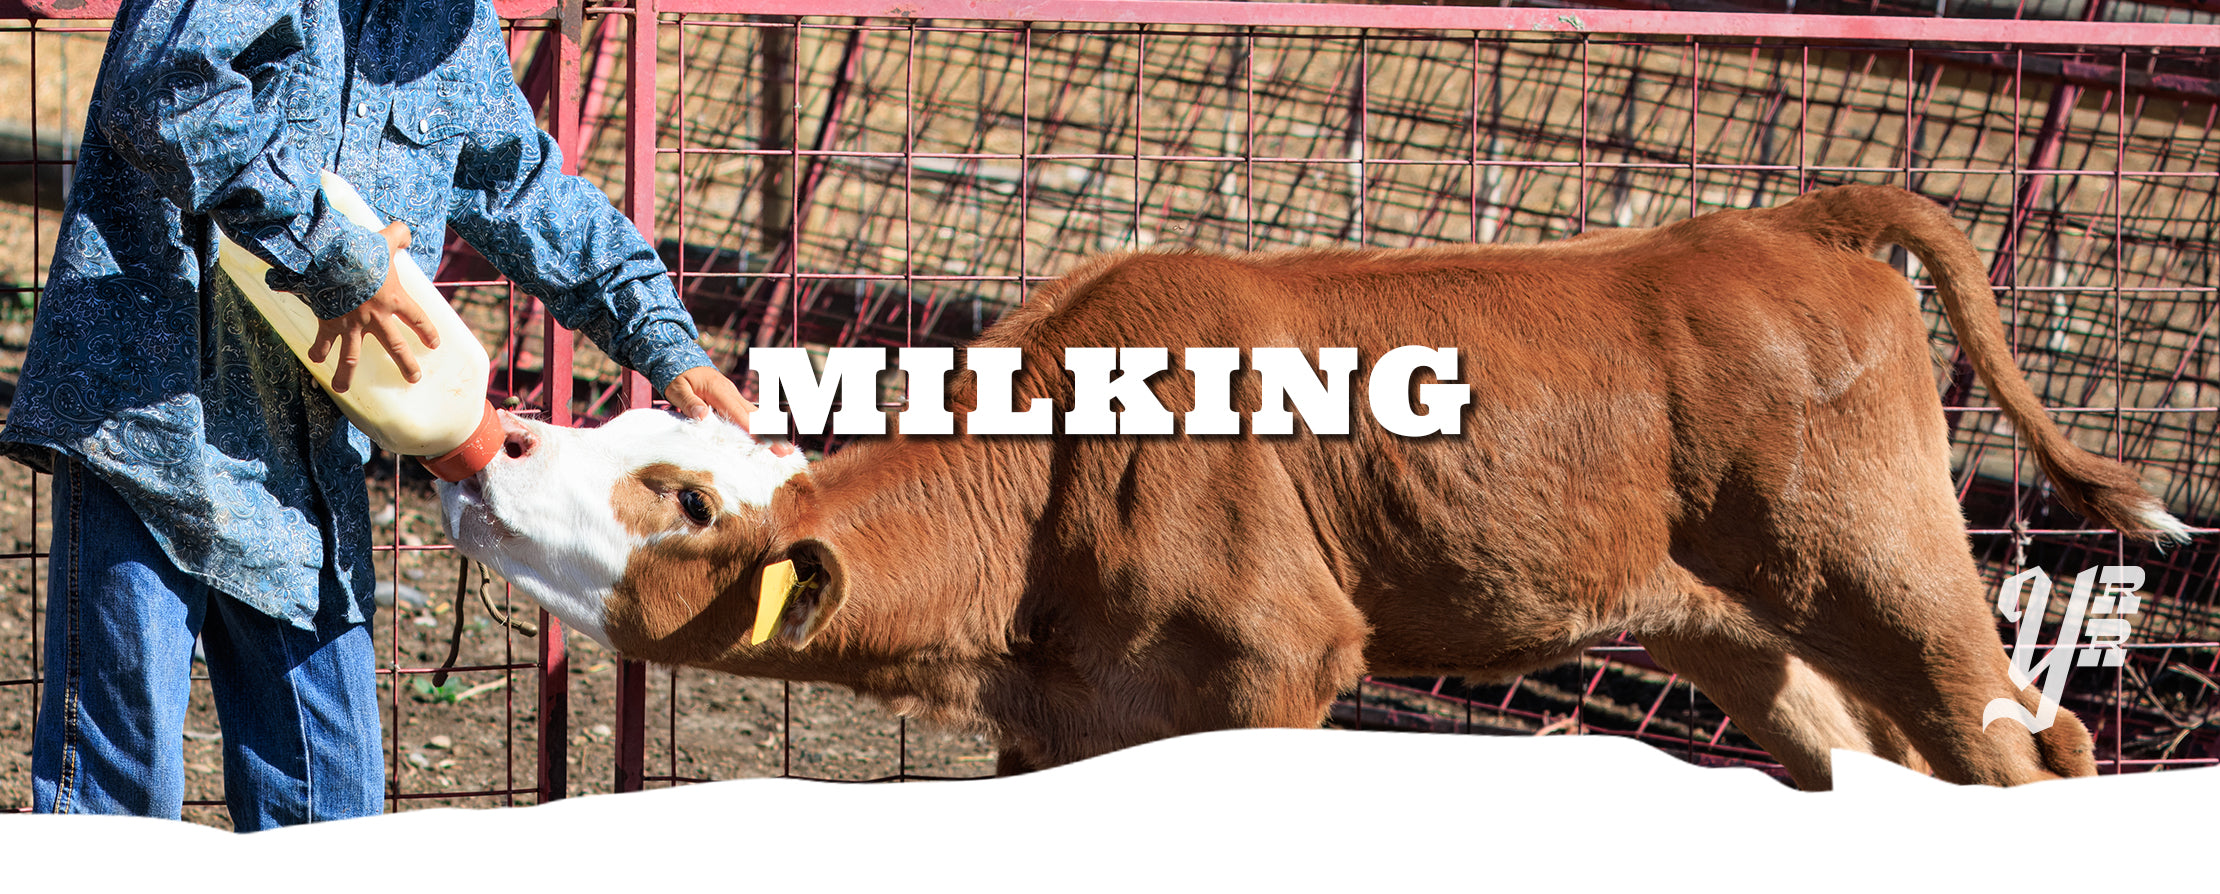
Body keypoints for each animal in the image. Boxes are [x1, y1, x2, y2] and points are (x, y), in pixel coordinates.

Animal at [439, 185, 2189, 789]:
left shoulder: (1277, 661)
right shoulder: (1066, 713)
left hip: (1892, 575)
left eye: (682, 498)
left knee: (2034, 746)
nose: (500, 444)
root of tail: (1786, 227)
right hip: (1751, 633)